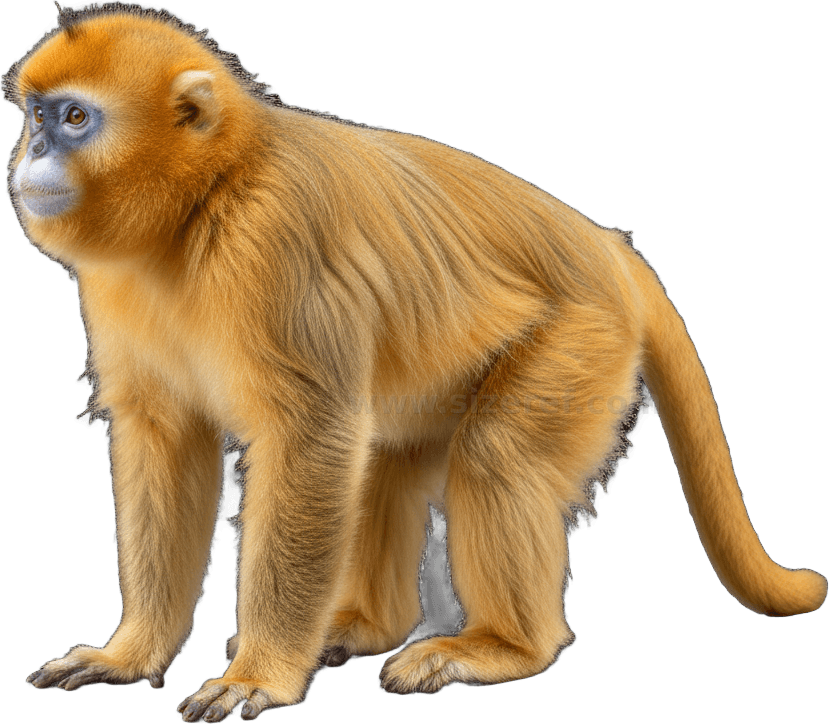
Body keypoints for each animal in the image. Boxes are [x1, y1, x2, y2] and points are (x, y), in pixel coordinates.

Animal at [10, 7, 825, 723]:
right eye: (34, 116)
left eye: (75, 119)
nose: (33, 152)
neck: (206, 199)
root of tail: (604, 247)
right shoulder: (114, 284)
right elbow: (167, 436)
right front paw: (131, 655)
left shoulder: (272, 243)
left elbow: (312, 437)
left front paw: (261, 675)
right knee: (387, 452)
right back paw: (365, 627)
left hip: (583, 337)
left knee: (495, 453)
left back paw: (501, 647)